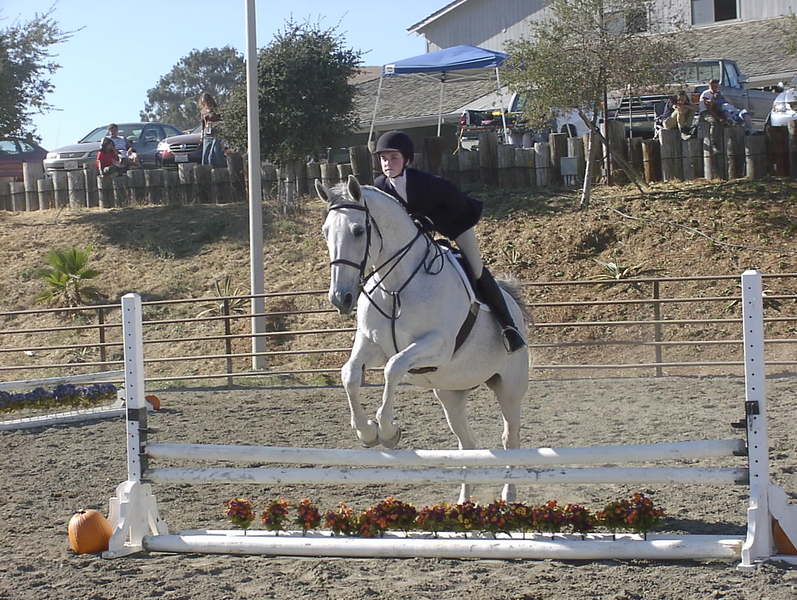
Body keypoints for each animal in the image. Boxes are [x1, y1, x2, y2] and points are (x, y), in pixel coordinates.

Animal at [316, 175, 530, 502]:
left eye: (358, 230)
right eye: (325, 232)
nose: (341, 299)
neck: (396, 286)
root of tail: (514, 305)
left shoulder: (436, 347)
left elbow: (393, 368)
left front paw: (388, 431)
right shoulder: (371, 343)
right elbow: (350, 374)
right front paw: (367, 432)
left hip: (509, 387)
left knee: (510, 439)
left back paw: (508, 496)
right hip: (450, 394)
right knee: (467, 444)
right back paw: (464, 500)